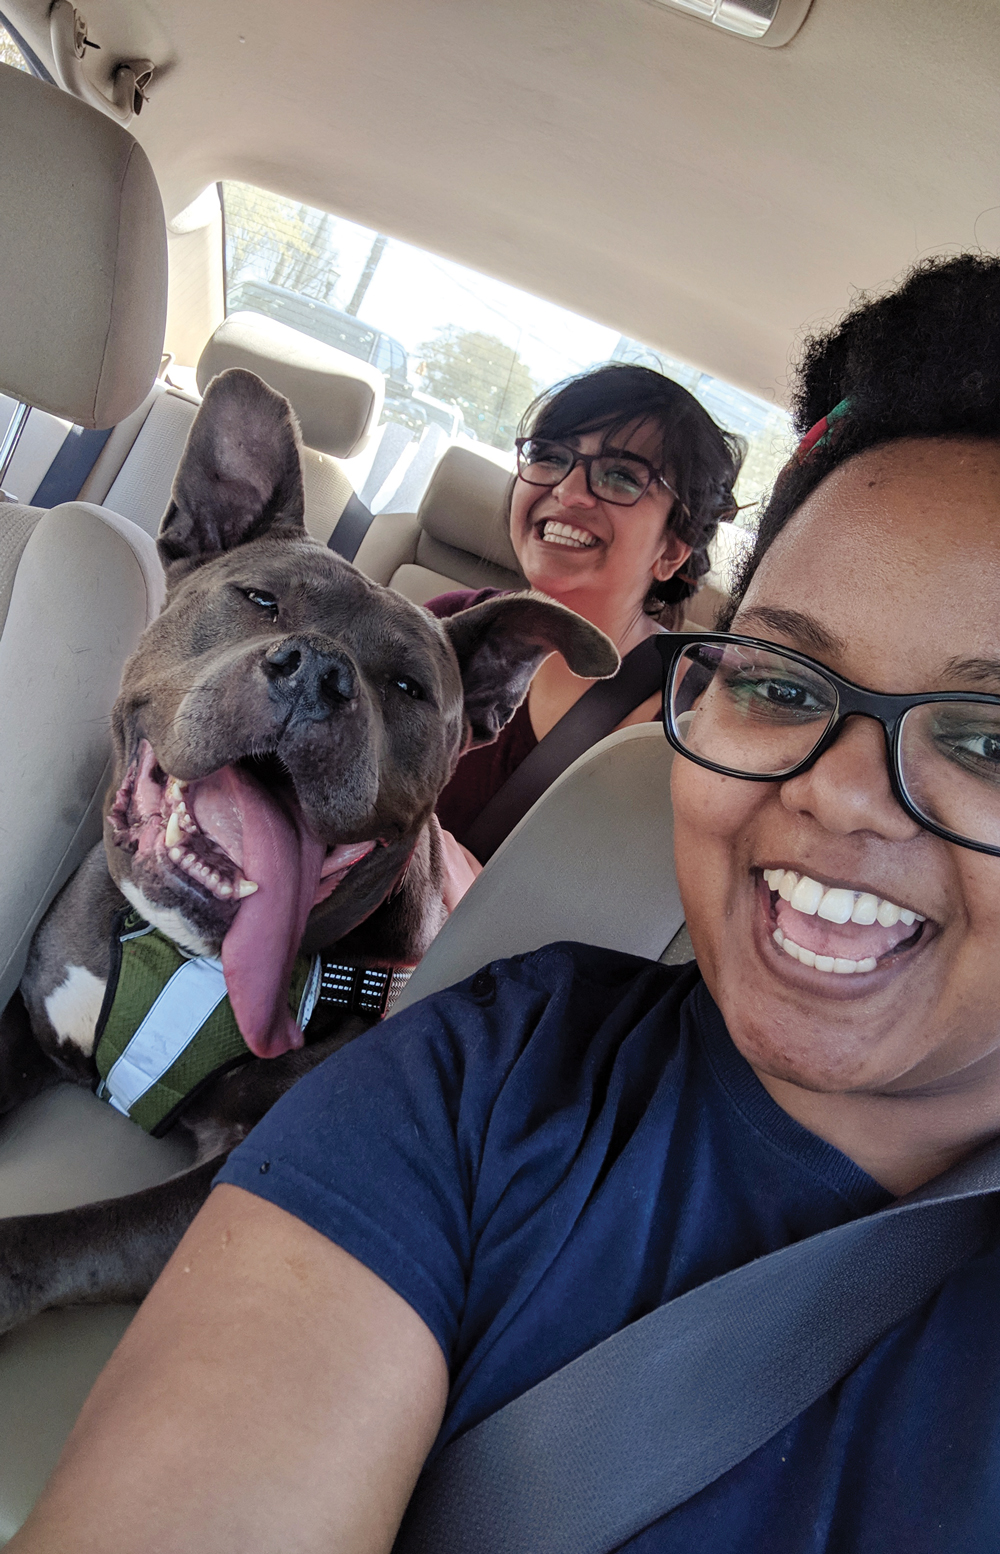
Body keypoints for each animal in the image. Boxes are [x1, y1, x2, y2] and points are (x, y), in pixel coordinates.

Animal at [0, 366, 618, 1336]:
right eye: (259, 600)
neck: (187, 958)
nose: (320, 674)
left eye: (407, 687)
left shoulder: (239, 1186)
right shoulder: (33, 1020)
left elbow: (68, 1235)